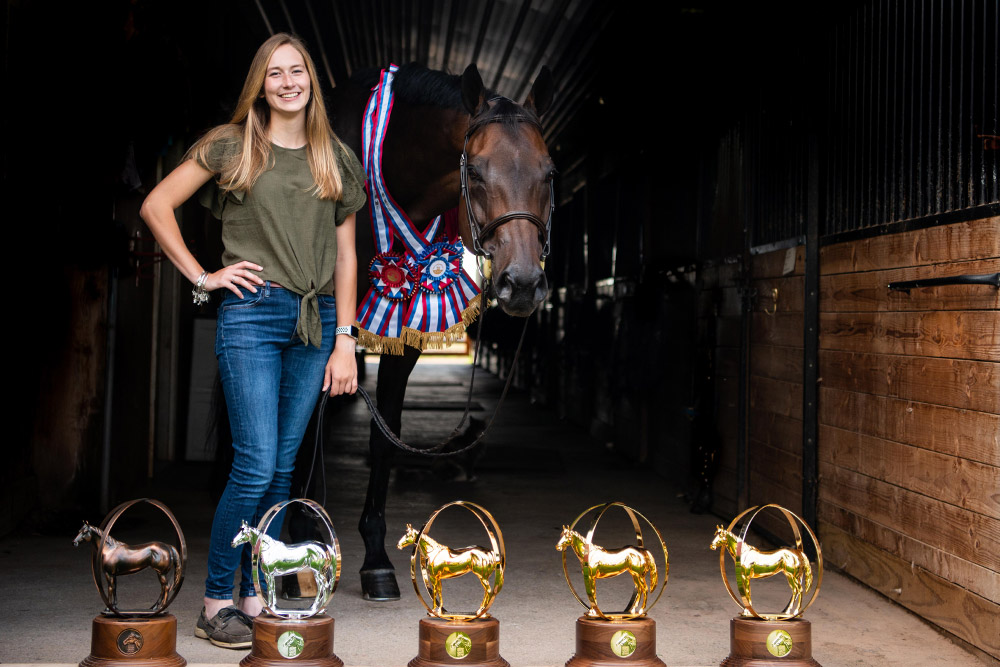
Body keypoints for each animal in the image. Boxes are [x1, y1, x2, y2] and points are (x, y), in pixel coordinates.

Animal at [334, 62, 556, 604]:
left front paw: (375, 561)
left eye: (549, 174)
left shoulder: (402, 333)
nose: (522, 283)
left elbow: (384, 434)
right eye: (473, 171)